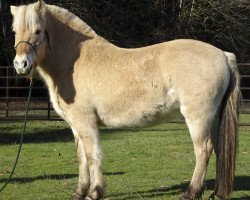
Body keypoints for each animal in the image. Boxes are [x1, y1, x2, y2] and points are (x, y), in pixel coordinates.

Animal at [10, 0, 240, 199]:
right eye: (14, 31)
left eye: (38, 30)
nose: (21, 64)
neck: (73, 61)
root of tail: (224, 54)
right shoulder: (76, 126)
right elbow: (82, 158)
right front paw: (80, 191)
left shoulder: (86, 123)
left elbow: (93, 156)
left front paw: (94, 192)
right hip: (214, 118)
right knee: (218, 149)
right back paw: (216, 193)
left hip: (198, 118)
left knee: (203, 150)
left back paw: (191, 192)